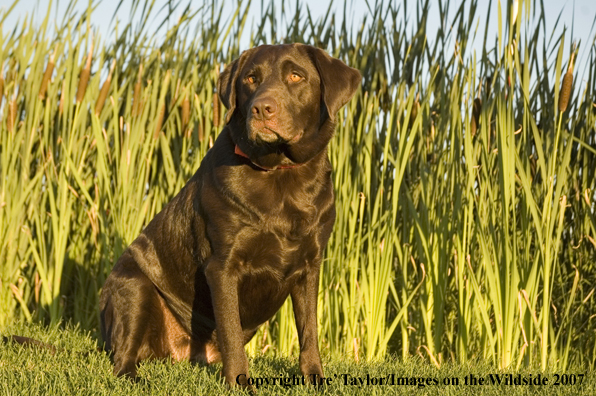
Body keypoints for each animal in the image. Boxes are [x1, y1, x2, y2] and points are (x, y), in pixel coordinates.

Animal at [99, 43, 358, 386]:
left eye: (296, 76)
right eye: (250, 78)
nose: (262, 109)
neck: (280, 172)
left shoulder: (310, 265)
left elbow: (310, 332)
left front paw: (314, 378)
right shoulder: (222, 266)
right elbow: (231, 332)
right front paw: (239, 382)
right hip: (133, 285)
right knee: (122, 357)